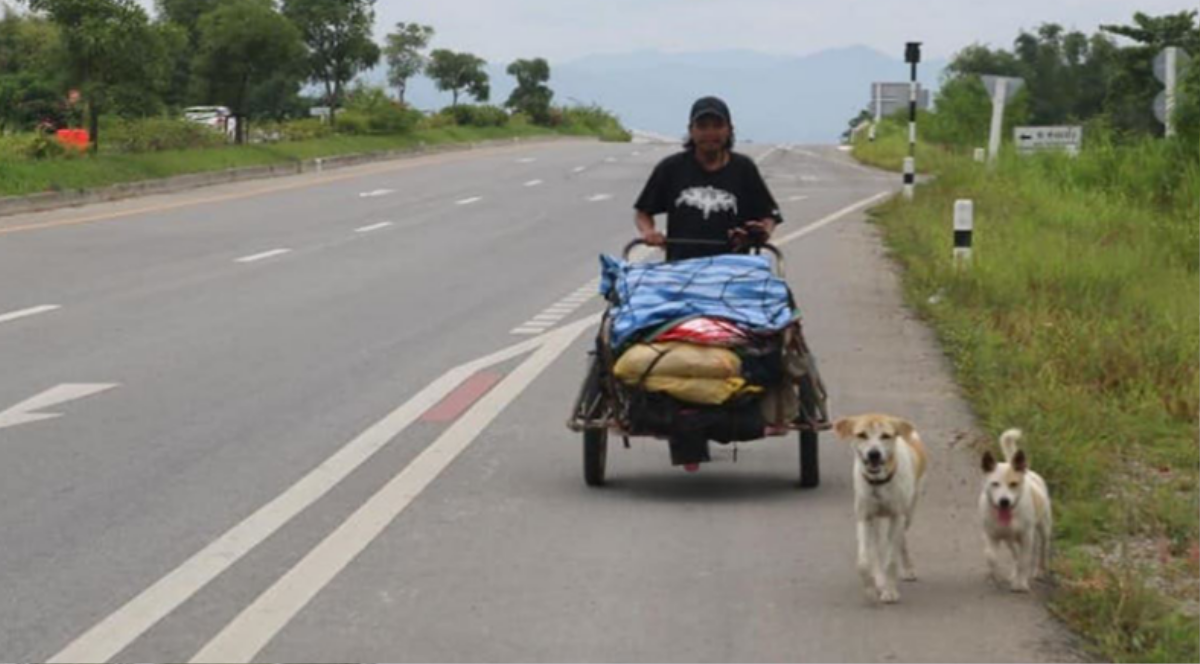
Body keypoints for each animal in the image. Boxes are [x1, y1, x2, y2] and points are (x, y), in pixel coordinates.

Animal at [835, 410, 926, 602]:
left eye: (885, 435)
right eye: (862, 434)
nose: (874, 454)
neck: (878, 484)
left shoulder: (897, 516)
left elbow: (891, 558)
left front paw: (890, 591)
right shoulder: (864, 517)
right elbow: (864, 561)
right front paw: (871, 588)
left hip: (909, 511)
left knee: (901, 539)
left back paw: (907, 568)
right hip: (875, 520)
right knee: (877, 547)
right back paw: (879, 578)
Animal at [984, 429, 1051, 590]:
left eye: (1013, 484)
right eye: (995, 483)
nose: (1004, 501)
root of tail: (1027, 471)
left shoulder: (1027, 536)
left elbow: (1024, 560)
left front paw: (1020, 585)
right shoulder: (992, 534)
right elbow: (991, 556)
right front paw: (994, 578)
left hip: (1044, 526)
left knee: (1043, 548)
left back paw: (1039, 571)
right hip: (1010, 540)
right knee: (1015, 553)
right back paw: (1014, 574)